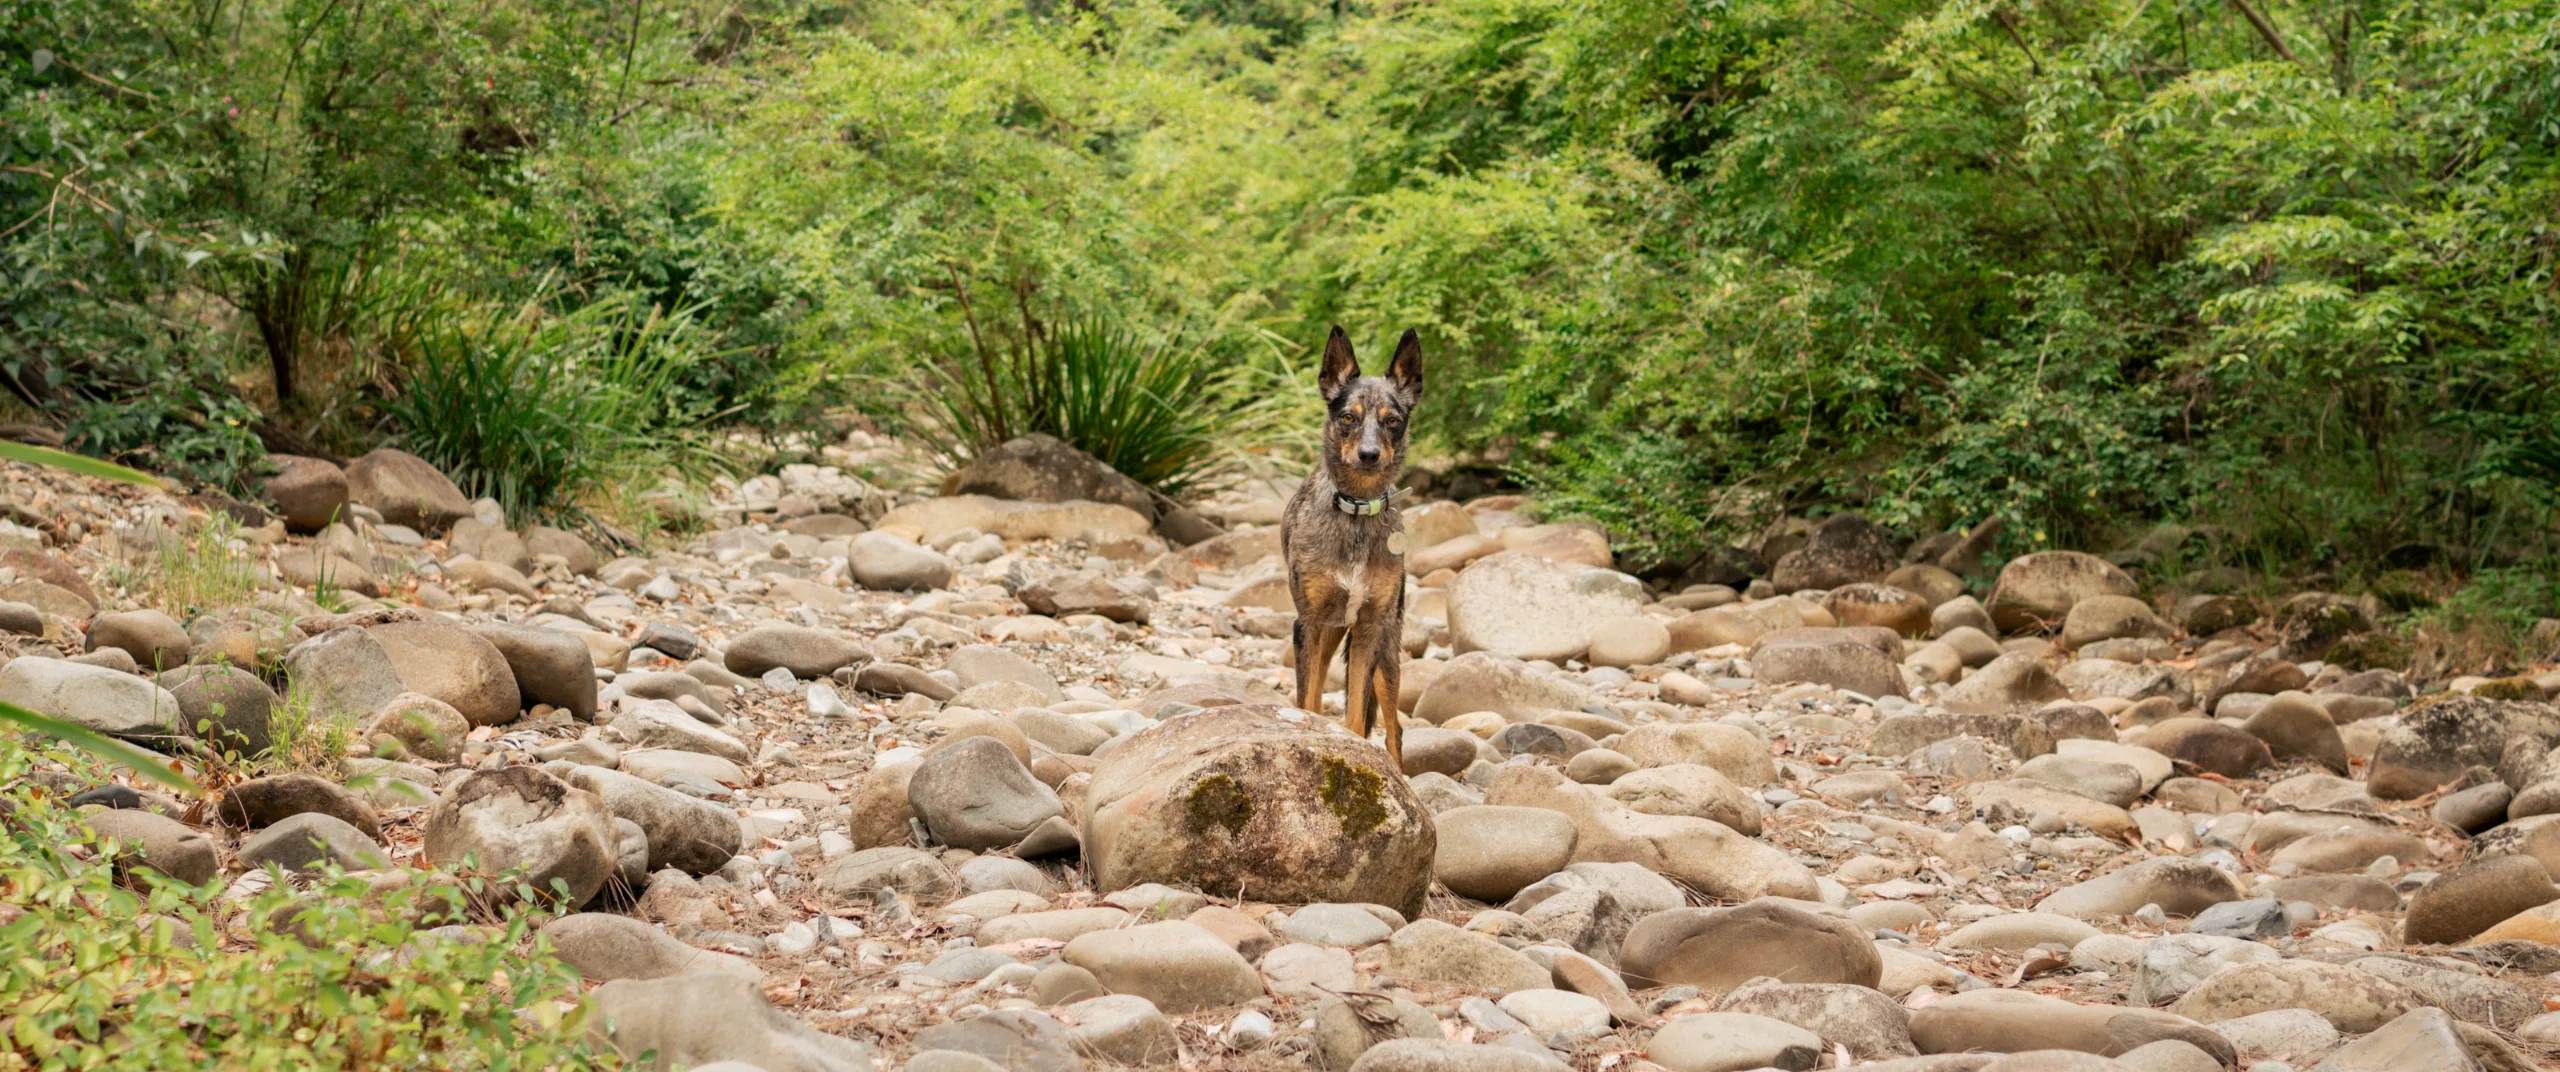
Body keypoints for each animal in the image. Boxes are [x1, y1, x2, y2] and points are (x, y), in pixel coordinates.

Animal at [1280, 323, 1423, 767]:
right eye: (1348, 417)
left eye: (1393, 421)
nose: (1369, 454)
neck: (1357, 510)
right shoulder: (1307, 625)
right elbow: (1307, 703)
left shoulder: (1369, 630)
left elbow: (1357, 717)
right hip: (1328, 635)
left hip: (1388, 650)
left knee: (1395, 727)